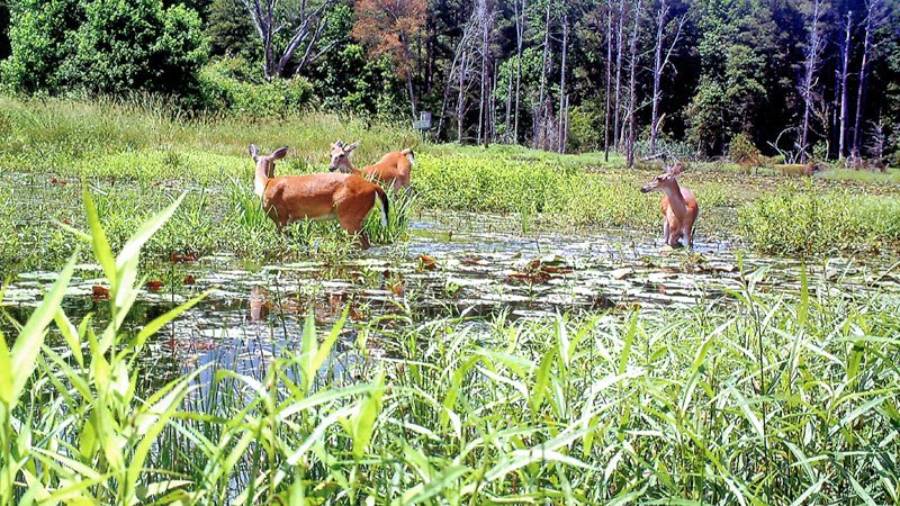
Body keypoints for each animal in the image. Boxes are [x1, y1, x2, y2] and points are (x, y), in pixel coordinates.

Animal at [250, 145, 389, 249]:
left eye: (274, 164)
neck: (266, 184)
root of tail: (374, 186)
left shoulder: (280, 217)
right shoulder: (291, 220)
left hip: (349, 215)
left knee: (362, 243)